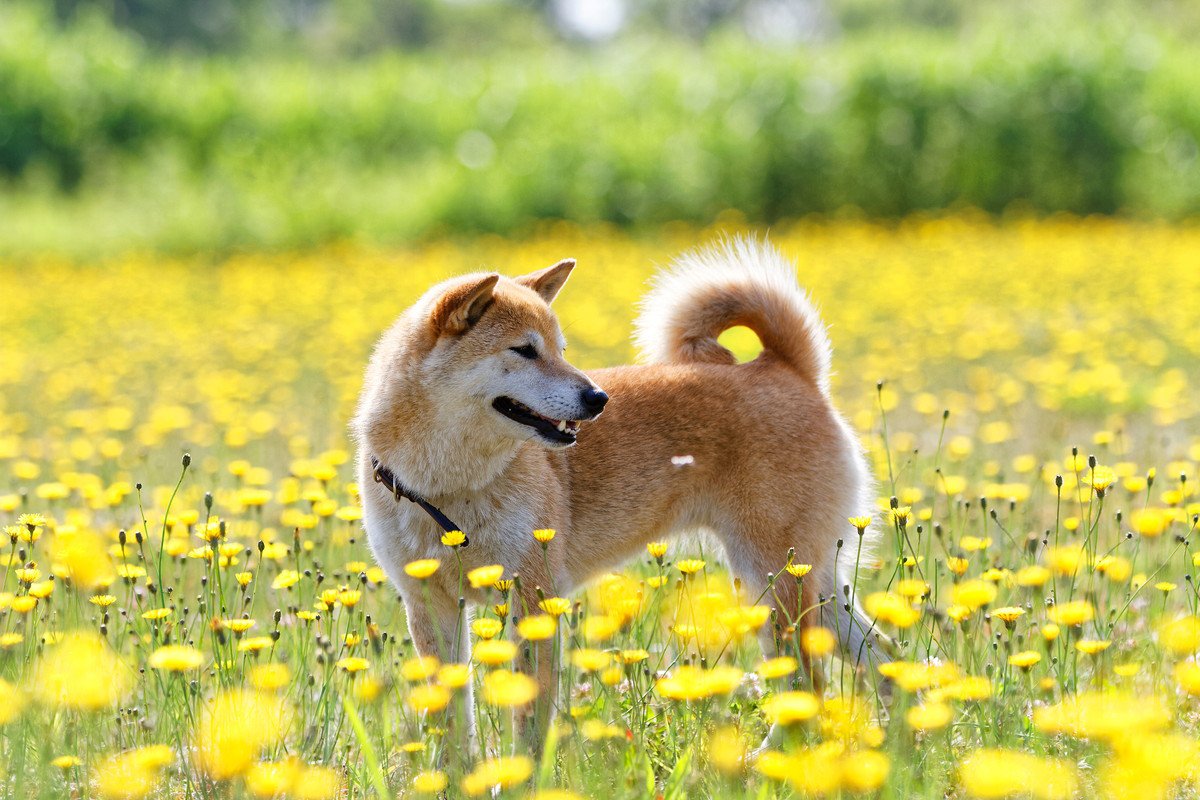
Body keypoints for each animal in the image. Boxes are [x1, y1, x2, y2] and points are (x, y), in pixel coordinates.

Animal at [350, 237, 888, 738]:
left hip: (775, 583)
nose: (598, 397)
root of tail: (786, 367)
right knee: (886, 656)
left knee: (809, 684)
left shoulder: (534, 600)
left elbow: (528, 725)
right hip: (814, 587)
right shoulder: (430, 605)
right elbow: (452, 729)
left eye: (561, 349)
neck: (448, 488)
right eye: (524, 350)